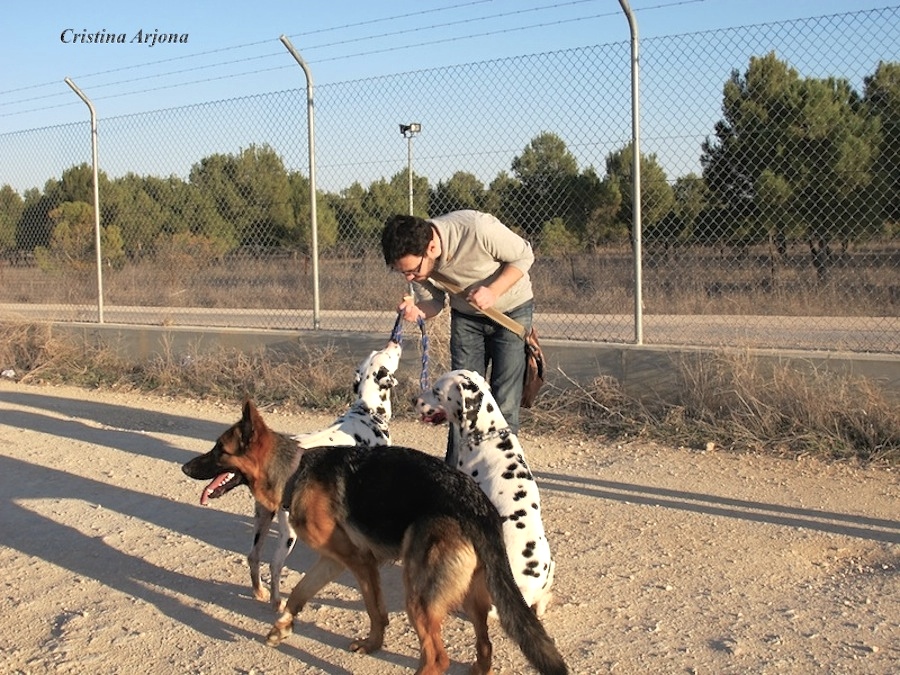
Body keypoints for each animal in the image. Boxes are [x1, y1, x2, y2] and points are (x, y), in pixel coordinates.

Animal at [179, 402, 568, 675]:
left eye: (218, 450)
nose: (184, 467)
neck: (294, 472)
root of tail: (476, 505)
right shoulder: (332, 561)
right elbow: (301, 593)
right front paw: (283, 628)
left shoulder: (359, 561)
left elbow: (373, 608)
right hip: (473, 595)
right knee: (484, 649)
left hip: (420, 594)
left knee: (437, 658)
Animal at [246, 340, 400, 608]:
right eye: (387, 354)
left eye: (378, 351)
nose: (395, 341)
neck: (367, 412)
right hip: (288, 533)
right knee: (274, 565)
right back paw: (277, 602)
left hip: (262, 519)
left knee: (253, 556)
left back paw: (259, 592)